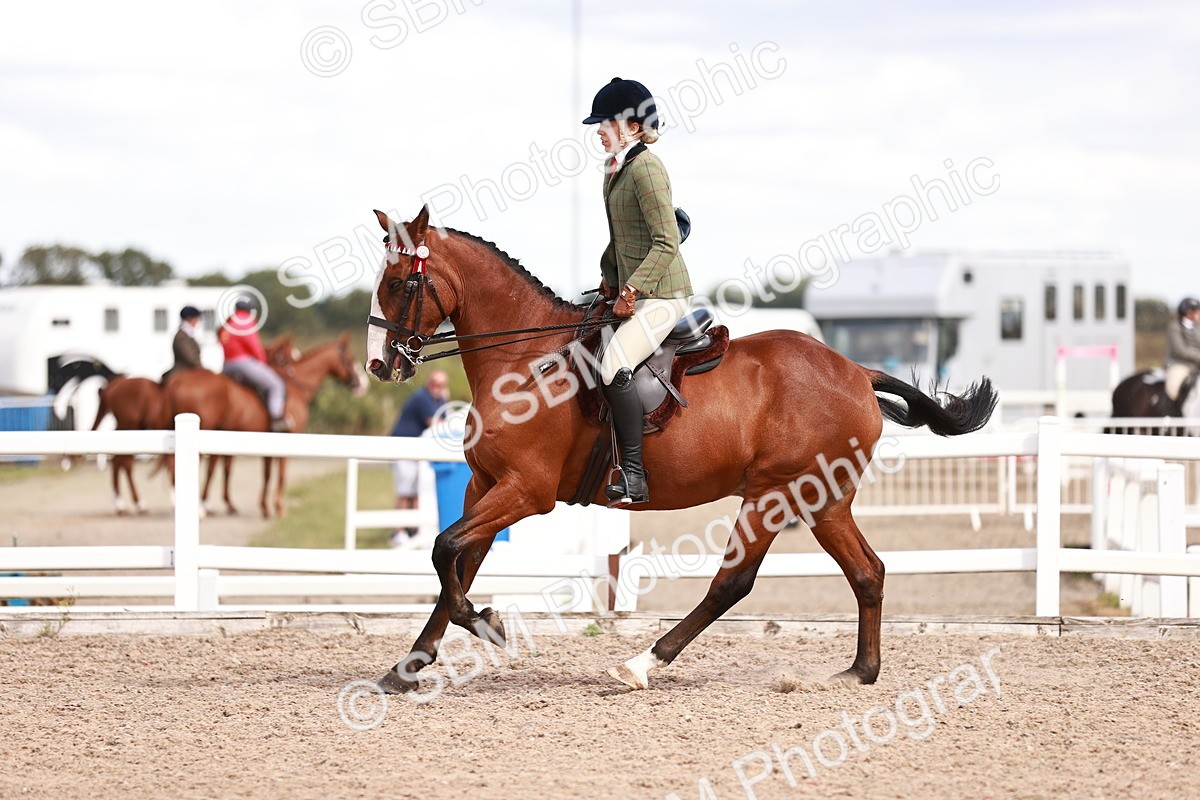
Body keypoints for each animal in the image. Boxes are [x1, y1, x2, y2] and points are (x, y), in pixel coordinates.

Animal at [163, 334, 366, 518]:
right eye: (350, 358)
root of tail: (179, 379)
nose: (362, 384)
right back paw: (198, 508)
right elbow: (281, 475)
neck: (294, 386)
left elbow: (267, 474)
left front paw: (265, 507)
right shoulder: (288, 438)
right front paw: (279, 508)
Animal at [364, 205, 998, 694]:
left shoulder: (526, 491)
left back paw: (642, 664)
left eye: (400, 284)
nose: (380, 365)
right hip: (823, 499)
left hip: (775, 494)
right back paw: (860, 671)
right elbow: (459, 563)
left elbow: (445, 550)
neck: (525, 360)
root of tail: (857, 372)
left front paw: (487, 624)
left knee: (733, 583)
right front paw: (408, 668)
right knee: (867, 572)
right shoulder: (484, 484)